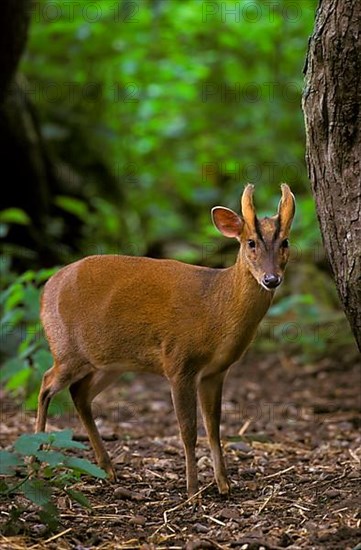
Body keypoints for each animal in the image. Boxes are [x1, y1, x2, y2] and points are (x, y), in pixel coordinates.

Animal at [35, 185, 296, 500]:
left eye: (285, 241)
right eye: (251, 243)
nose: (271, 279)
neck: (217, 309)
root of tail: (47, 288)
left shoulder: (216, 372)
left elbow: (214, 427)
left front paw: (224, 484)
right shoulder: (179, 362)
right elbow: (188, 431)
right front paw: (193, 492)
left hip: (110, 363)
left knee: (79, 393)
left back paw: (107, 469)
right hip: (67, 349)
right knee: (46, 383)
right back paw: (34, 461)